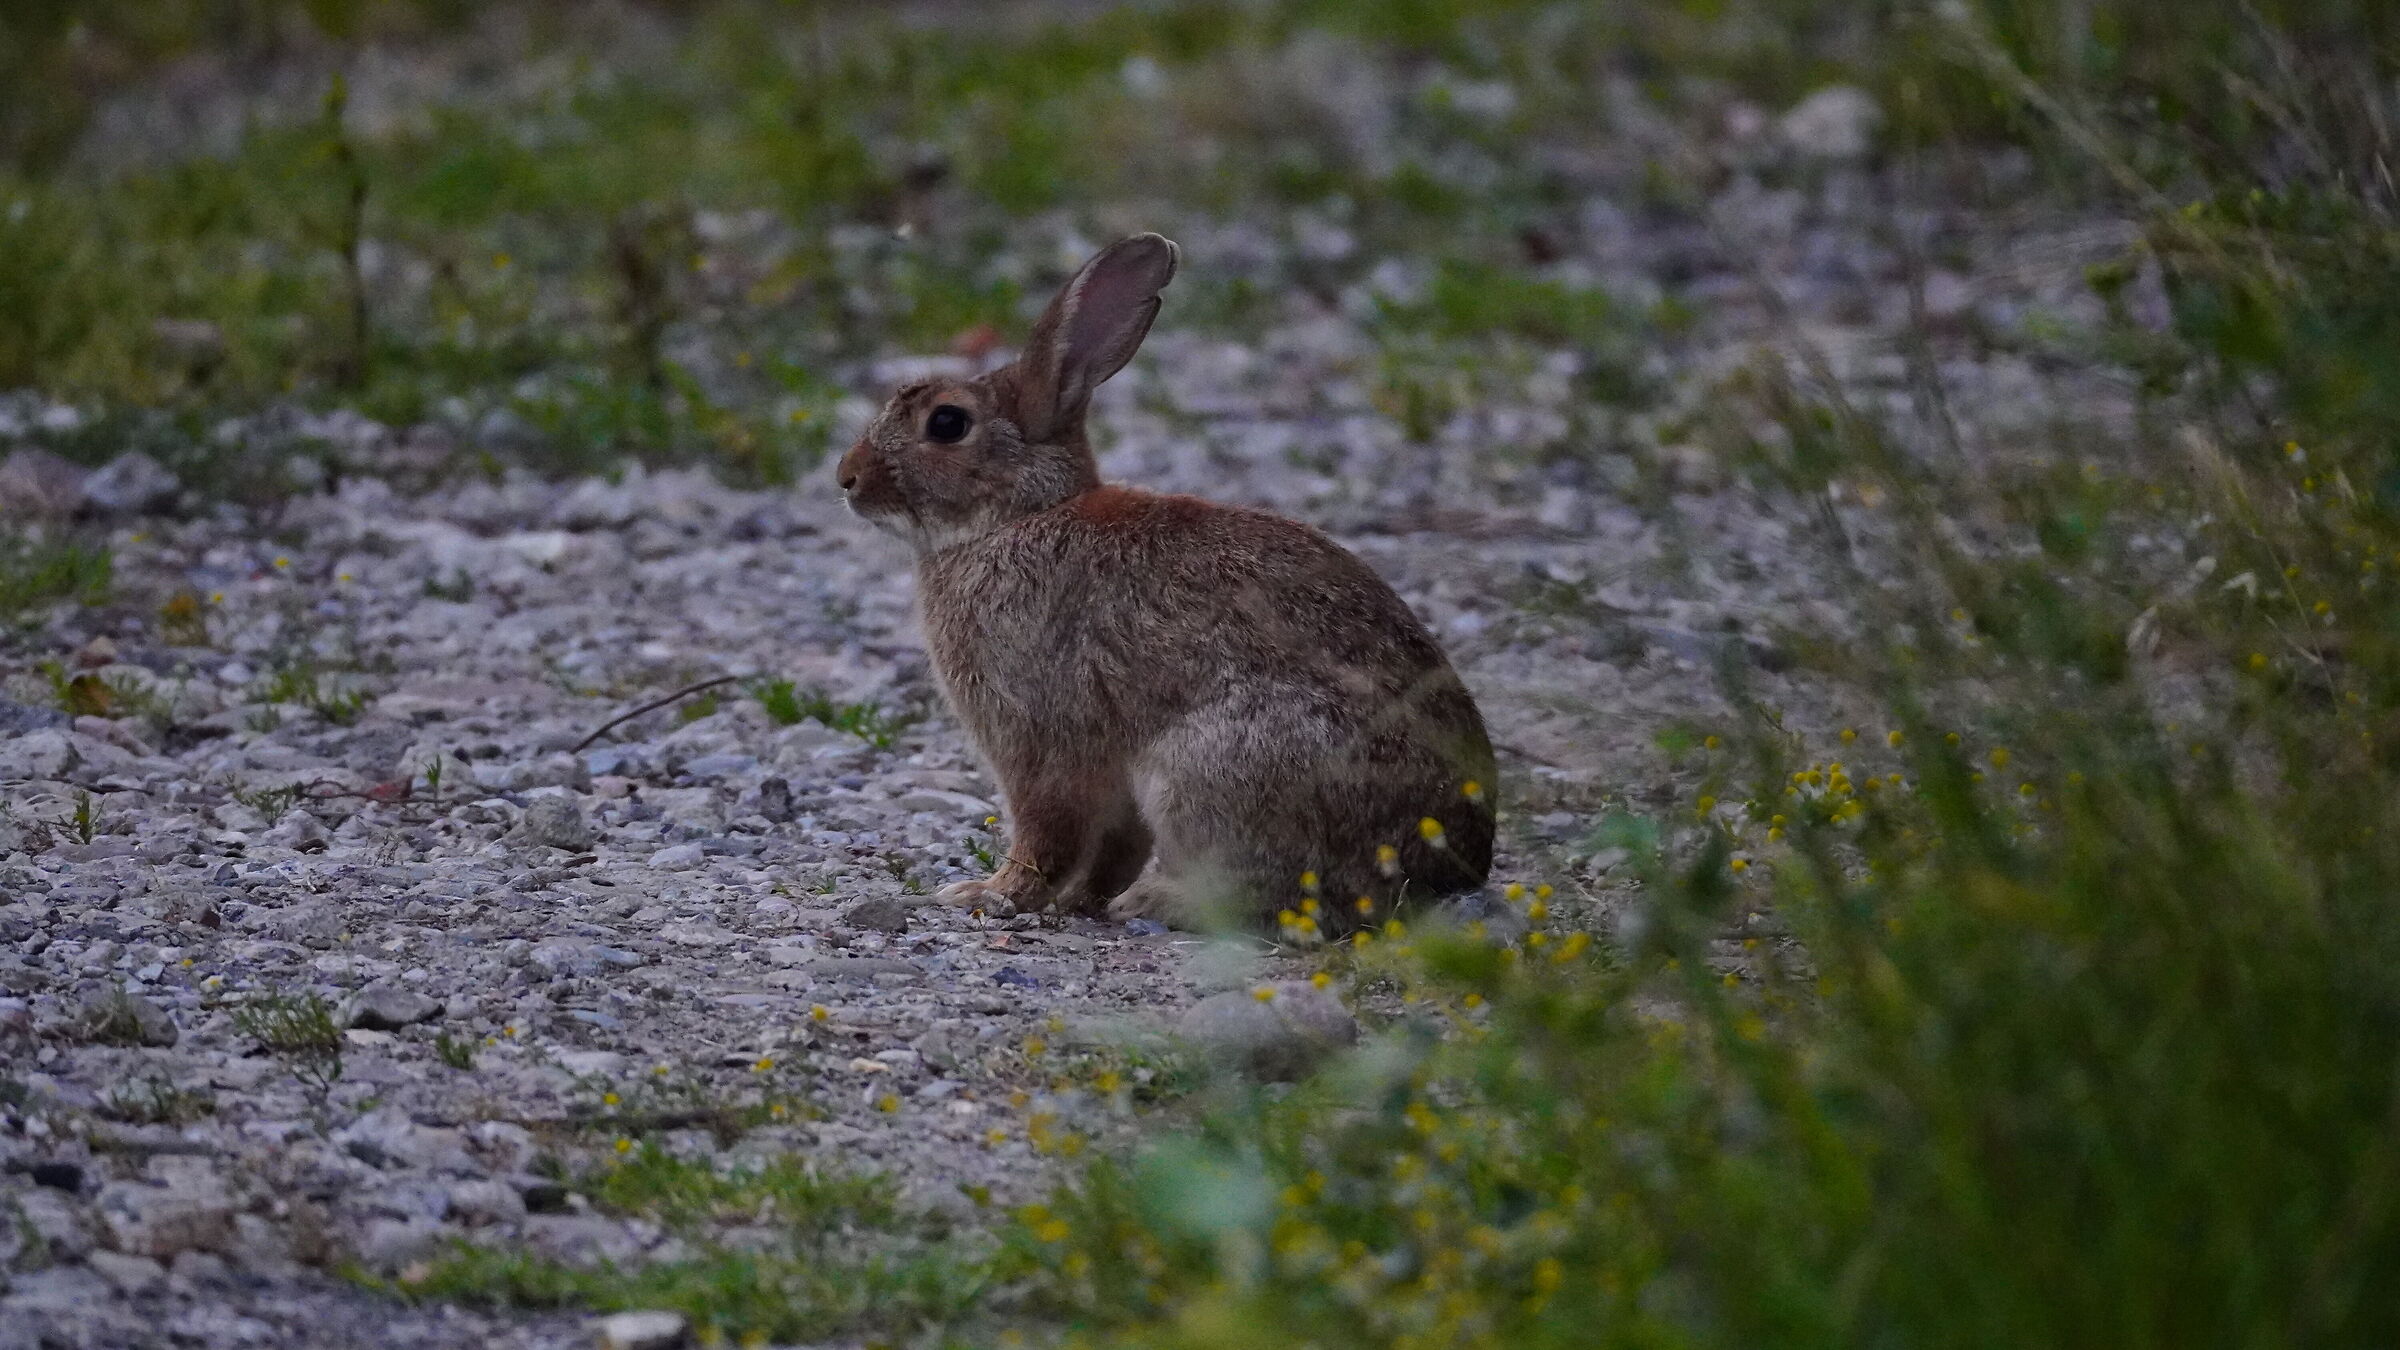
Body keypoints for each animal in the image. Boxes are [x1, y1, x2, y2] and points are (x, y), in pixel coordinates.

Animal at [836, 233, 1495, 931]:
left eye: (947, 424)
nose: (846, 477)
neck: (1019, 514)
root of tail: (1445, 871)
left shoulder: (1040, 733)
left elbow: (1048, 830)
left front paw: (989, 894)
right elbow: (1113, 846)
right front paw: (1078, 902)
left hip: (1212, 772)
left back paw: (1157, 900)